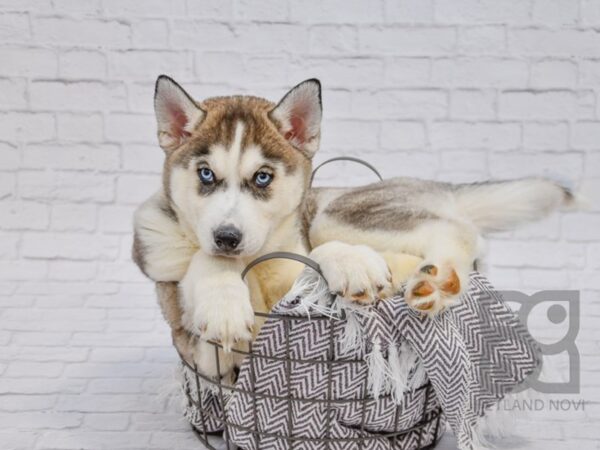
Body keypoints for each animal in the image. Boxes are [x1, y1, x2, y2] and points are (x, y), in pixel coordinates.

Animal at [132, 75, 576, 378]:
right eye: (206, 174)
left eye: (262, 177)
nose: (227, 238)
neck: (256, 262)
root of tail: (429, 184)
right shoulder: (199, 352)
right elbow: (207, 267)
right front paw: (223, 304)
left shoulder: (297, 263)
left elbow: (314, 257)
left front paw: (351, 264)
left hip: (335, 214)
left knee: (461, 232)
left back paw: (434, 281)